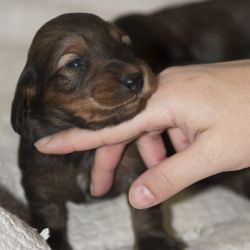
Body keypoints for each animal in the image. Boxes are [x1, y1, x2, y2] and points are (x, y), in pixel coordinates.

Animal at [11, 13, 182, 250]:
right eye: (75, 63)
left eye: (124, 46)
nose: (136, 79)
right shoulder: (39, 181)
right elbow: (49, 214)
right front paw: (52, 241)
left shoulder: (134, 165)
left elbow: (145, 209)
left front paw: (154, 240)